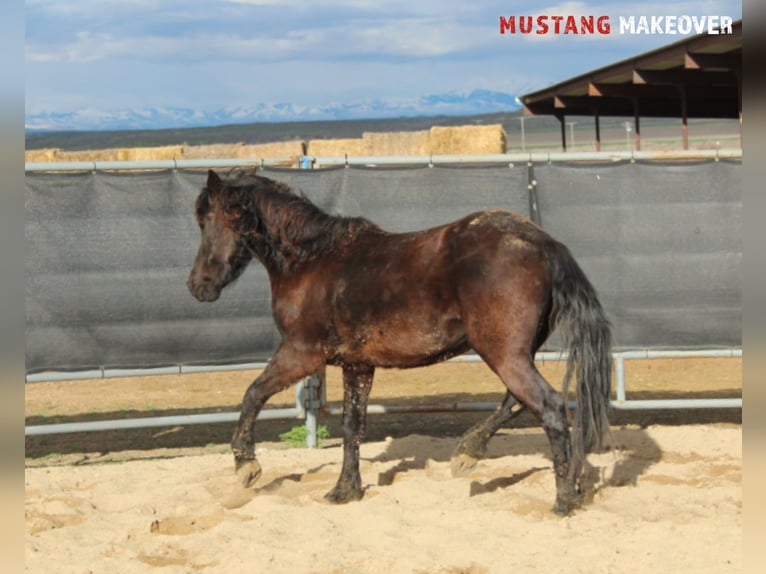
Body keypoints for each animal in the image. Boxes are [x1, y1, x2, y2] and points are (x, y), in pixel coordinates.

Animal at [189, 170, 616, 516]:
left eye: (205, 221)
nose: (198, 286)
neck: (311, 261)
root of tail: (544, 244)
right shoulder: (357, 364)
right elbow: (352, 425)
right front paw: (346, 490)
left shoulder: (301, 353)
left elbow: (253, 393)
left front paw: (246, 465)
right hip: (514, 353)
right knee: (517, 401)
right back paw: (469, 453)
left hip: (503, 353)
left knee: (549, 406)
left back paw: (562, 499)